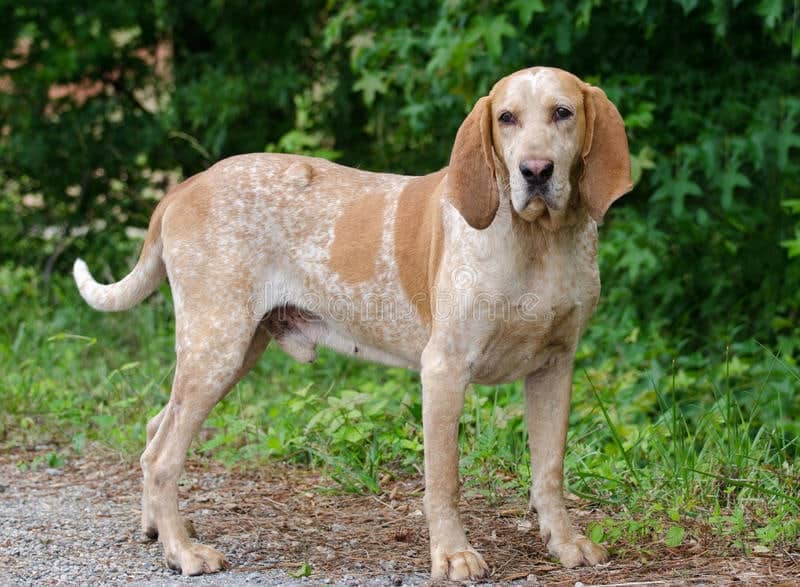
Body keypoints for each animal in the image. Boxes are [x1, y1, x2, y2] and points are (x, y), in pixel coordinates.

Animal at [73, 66, 632, 580]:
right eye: (506, 118)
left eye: (563, 112)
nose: (535, 171)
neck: (538, 243)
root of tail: (185, 186)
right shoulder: (444, 370)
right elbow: (444, 480)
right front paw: (452, 555)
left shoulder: (555, 369)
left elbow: (550, 471)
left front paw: (565, 543)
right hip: (217, 348)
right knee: (162, 457)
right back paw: (183, 552)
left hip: (232, 351)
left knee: (154, 428)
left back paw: (157, 531)